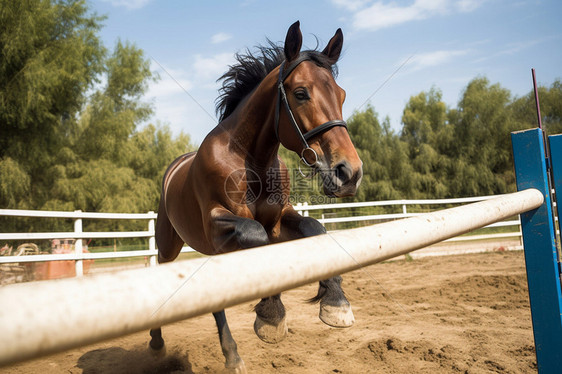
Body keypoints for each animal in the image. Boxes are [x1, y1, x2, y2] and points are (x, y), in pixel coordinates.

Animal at [149, 21, 360, 372]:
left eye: (341, 94)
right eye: (300, 93)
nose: (350, 172)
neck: (253, 163)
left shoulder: (280, 221)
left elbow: (315, 229)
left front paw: (335, 303)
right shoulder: (221, 225)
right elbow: (257, 238)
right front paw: (271, 318)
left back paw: (231, 355)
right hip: (169, 246)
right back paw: (158, 343)